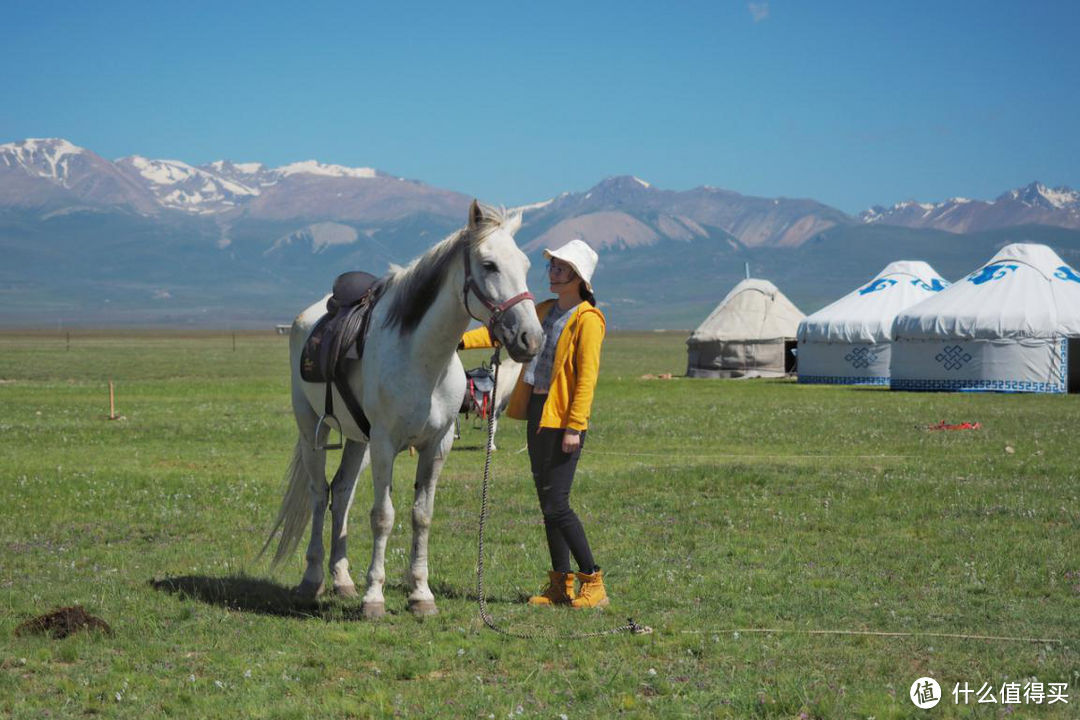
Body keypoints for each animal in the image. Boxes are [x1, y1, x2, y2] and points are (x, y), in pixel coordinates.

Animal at [265, 202, 544, 621]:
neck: (422, 358)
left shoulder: (437, 446)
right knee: (318, 493)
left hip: (356, 439)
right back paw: (312, 579)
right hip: (313, 429)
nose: (531, 338)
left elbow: (421, 515)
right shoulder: (384, 444)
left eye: (526, 264)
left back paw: (342, 579)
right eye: (490, 264)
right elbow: (383, 517)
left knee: (341, 492)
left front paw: (420, 594)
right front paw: (374, 598)